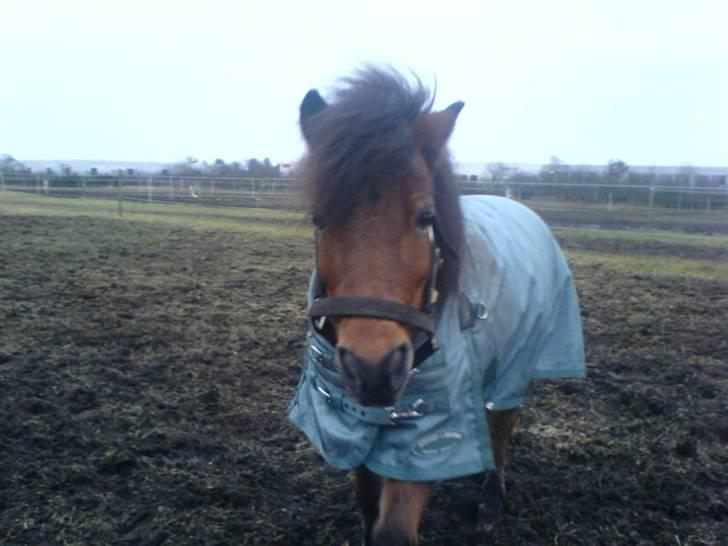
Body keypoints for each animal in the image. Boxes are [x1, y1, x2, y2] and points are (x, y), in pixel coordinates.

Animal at [290, 67, 584, 544]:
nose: (373, 366)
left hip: (518, 365)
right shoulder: (353, 421)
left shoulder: (428, 434)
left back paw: (491, 501)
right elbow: (367, 503)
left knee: (501, 428)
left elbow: (393, 527)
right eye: (320, 219)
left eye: (426, 217)